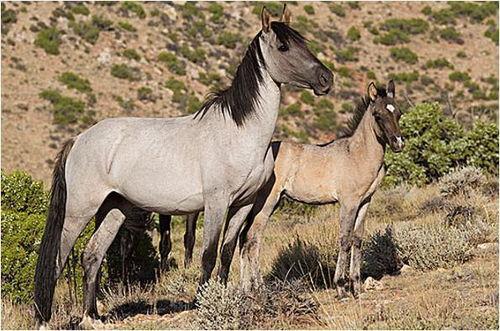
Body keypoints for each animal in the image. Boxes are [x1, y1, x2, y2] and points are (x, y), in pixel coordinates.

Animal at [34, 5, 332, 326]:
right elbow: (208, 255)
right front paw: (203, 304)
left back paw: (93, 317)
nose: (326, 79)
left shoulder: (243, 205)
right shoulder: (216, 203)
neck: (239, 133)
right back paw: (44, 319)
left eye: (304, 42)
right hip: (79, 210)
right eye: (283, 46)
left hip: (114, 208)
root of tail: (78, 139)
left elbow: (226, 253)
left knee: (92, 256)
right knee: (58, 259)